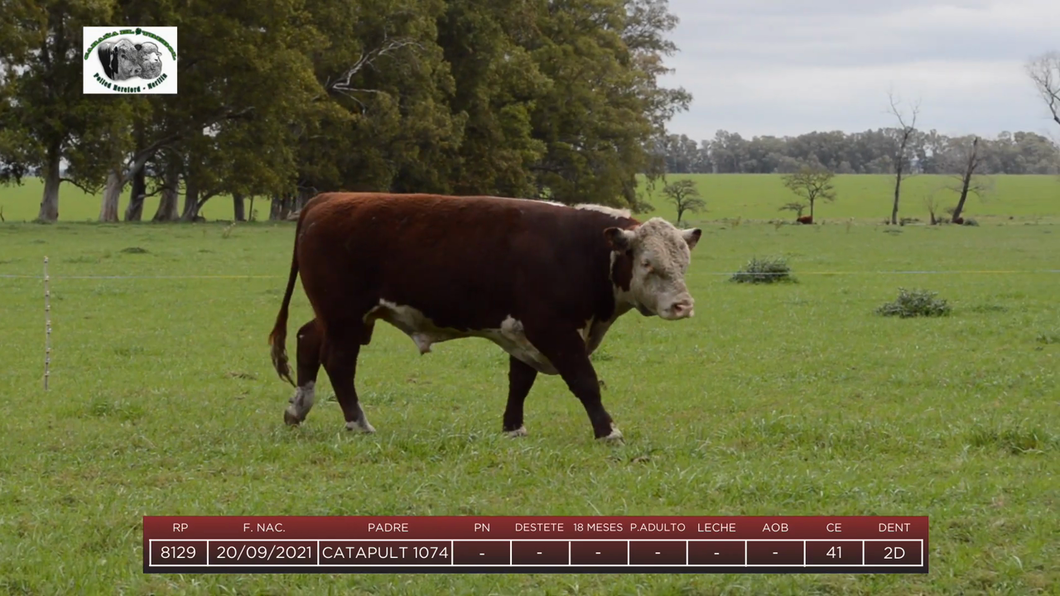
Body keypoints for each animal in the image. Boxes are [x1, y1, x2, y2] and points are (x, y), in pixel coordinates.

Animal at [267, 193, 703, 439]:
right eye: (647, 263)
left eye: (684, 262)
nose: (683, 305)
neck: (583, 251)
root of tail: (328, 198)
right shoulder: (553, 329)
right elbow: (585, 381)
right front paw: (607, 430)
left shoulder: (525, 331)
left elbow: (520, 382)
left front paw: (513, 427)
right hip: (345, 316)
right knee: (339, 362)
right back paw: (358, 423)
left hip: (340, 316)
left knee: (307, 339)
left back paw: (297, 409)